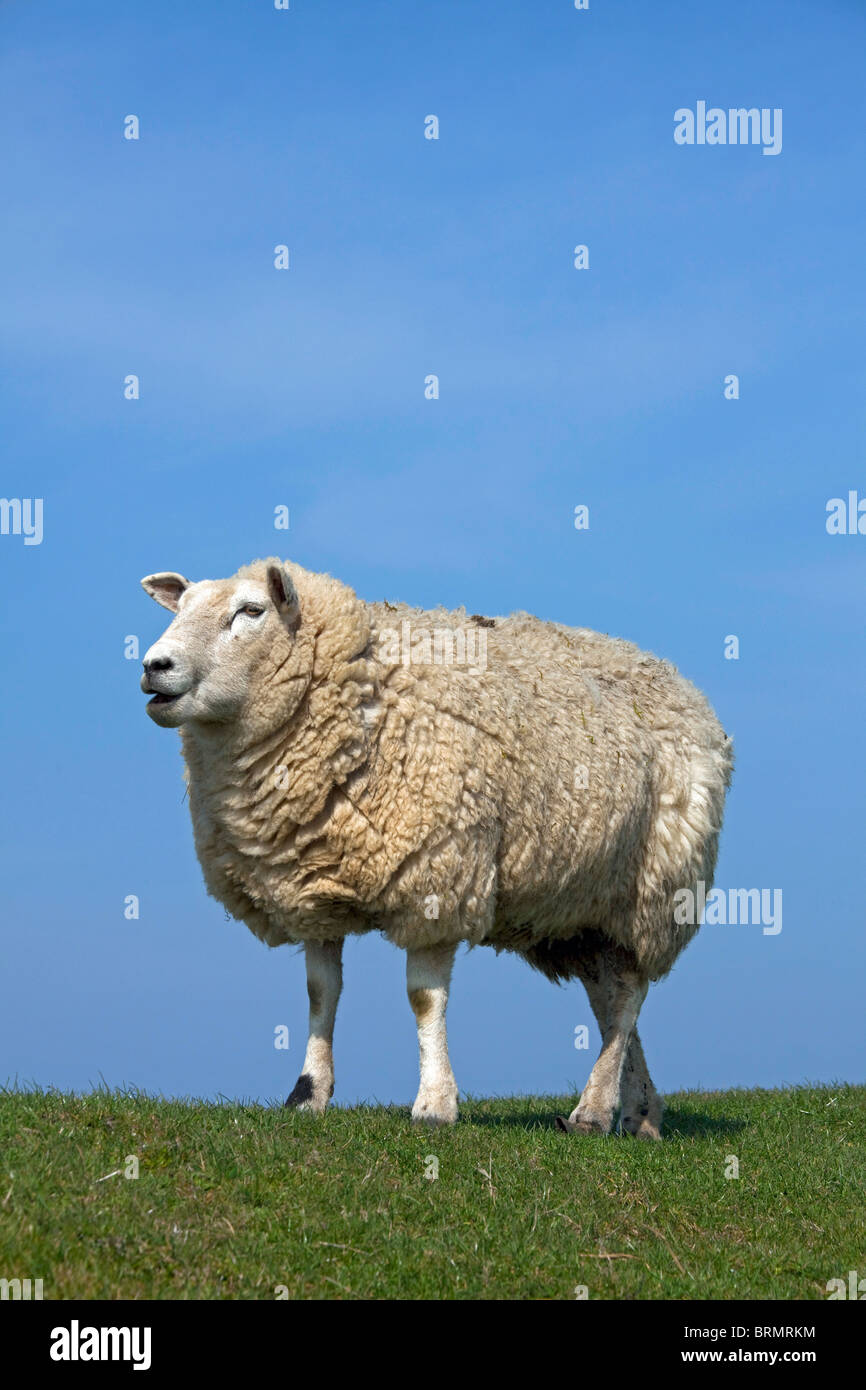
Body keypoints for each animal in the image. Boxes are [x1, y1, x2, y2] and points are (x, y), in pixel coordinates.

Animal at [140, 558, 733, 1134]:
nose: (153, 665)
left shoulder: (437, 878)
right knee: (609, 1001)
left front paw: (434, 1104)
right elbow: (320, 992)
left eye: (251, 611)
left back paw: (592, 1110)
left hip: (653, 889)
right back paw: (640, 1113)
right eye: (181, 607)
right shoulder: (313, 888)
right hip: (581, 910)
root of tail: (679, 682)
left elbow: (423, 999)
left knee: (629, 993)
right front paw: (307, 1096)